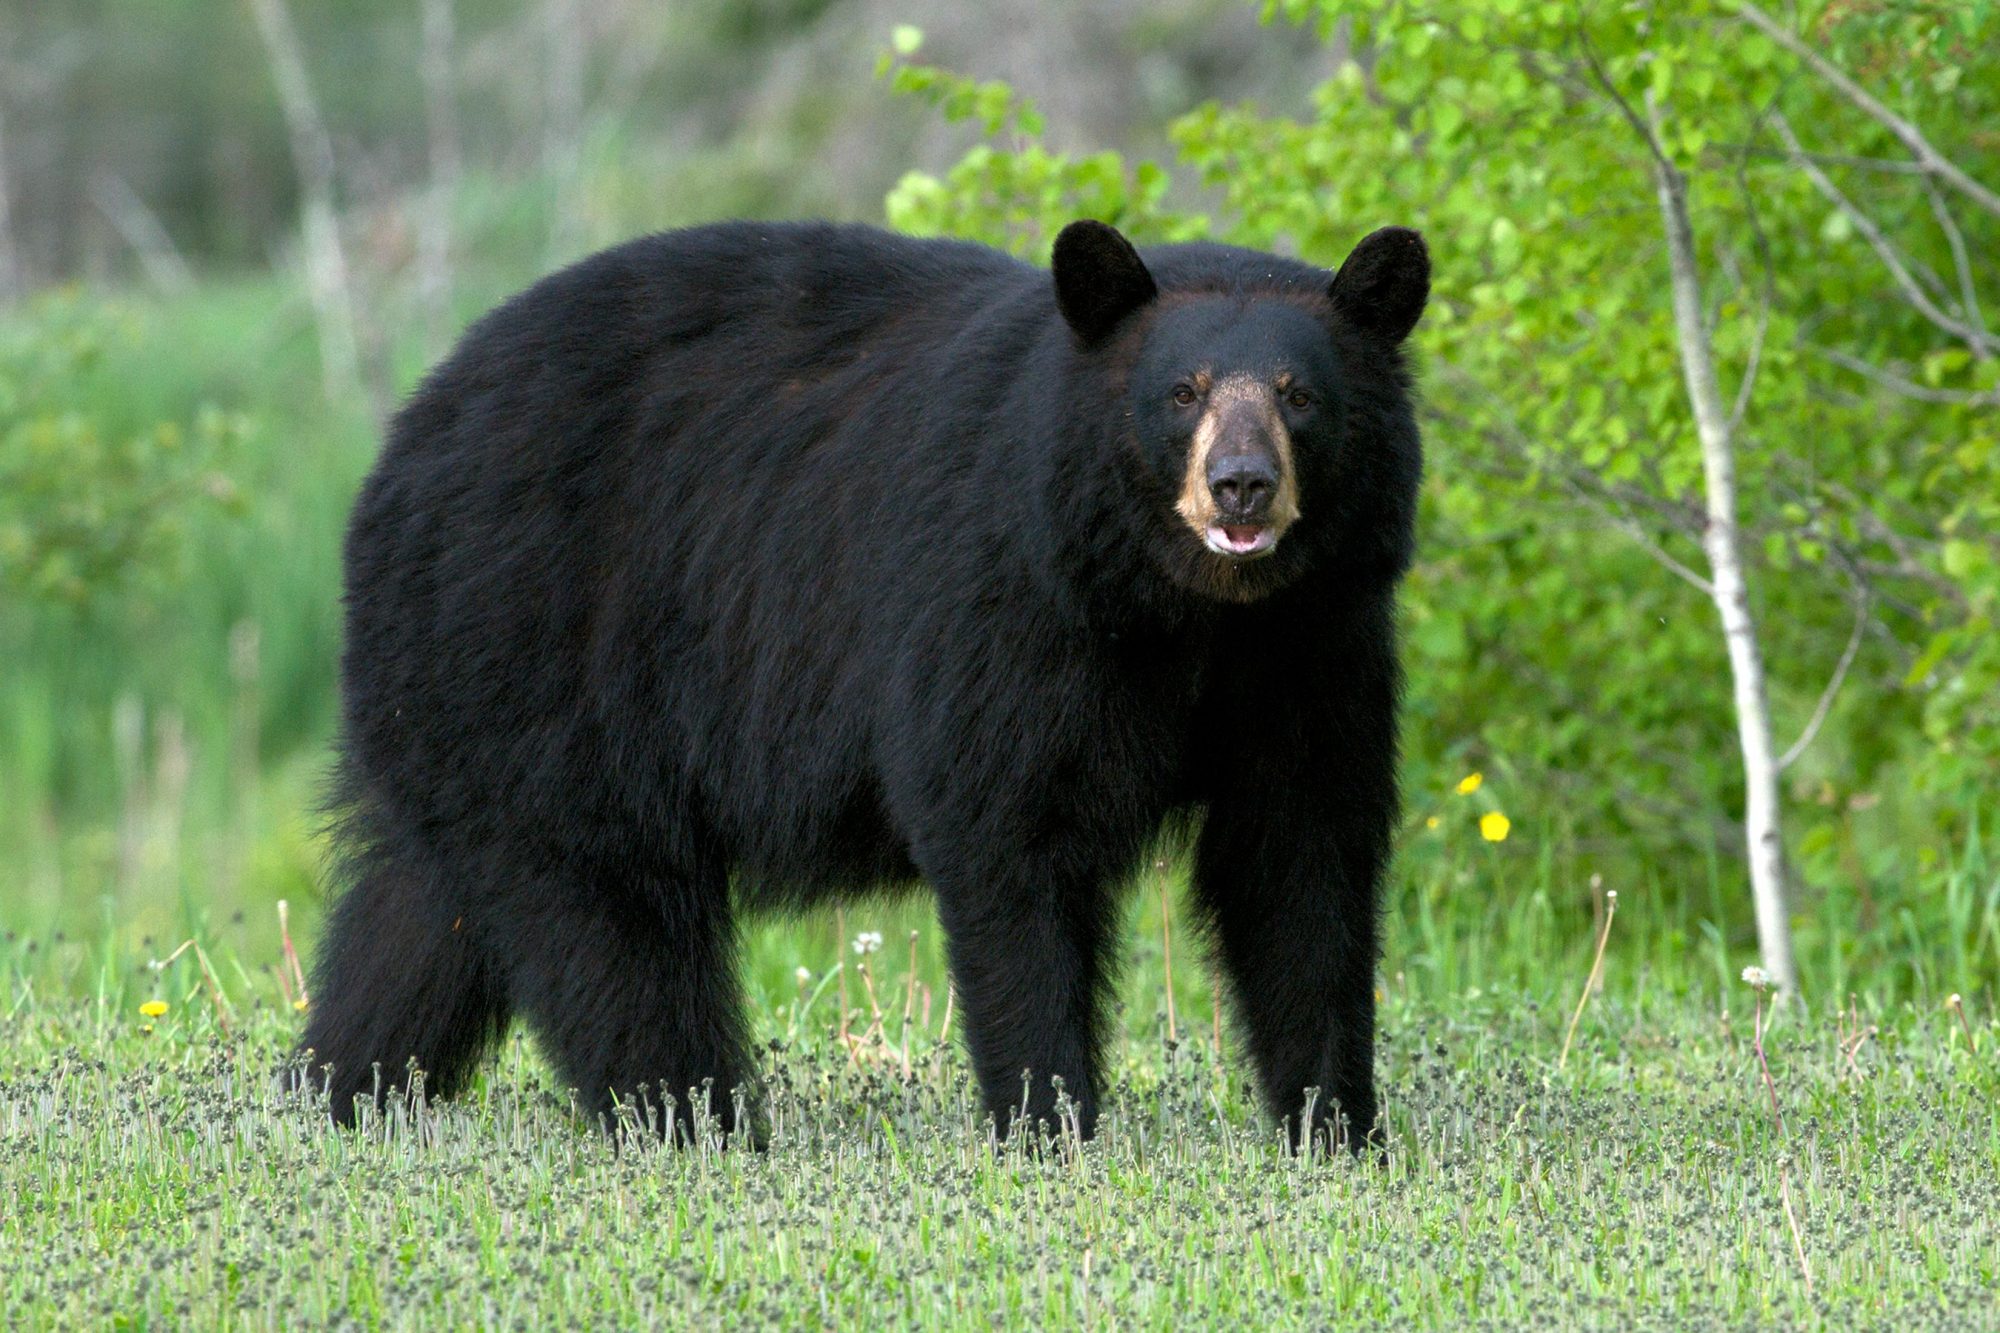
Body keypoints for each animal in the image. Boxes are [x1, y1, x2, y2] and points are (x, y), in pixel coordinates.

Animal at [300, 215, 1424, 1144]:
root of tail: (402, 444)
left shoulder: (1312, 648)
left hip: (456, 706)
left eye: (1298, 395)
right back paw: (698, 1123)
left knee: (417, 916)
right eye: (1182, 393)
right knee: (611, 922)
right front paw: (1048, 1125)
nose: (1241, 484)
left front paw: (1335, 1127)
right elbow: (1011, 840)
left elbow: (1301, 860)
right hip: (547, 658)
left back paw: (340, 1092)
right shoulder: (1001, 610)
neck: (1187, 613)